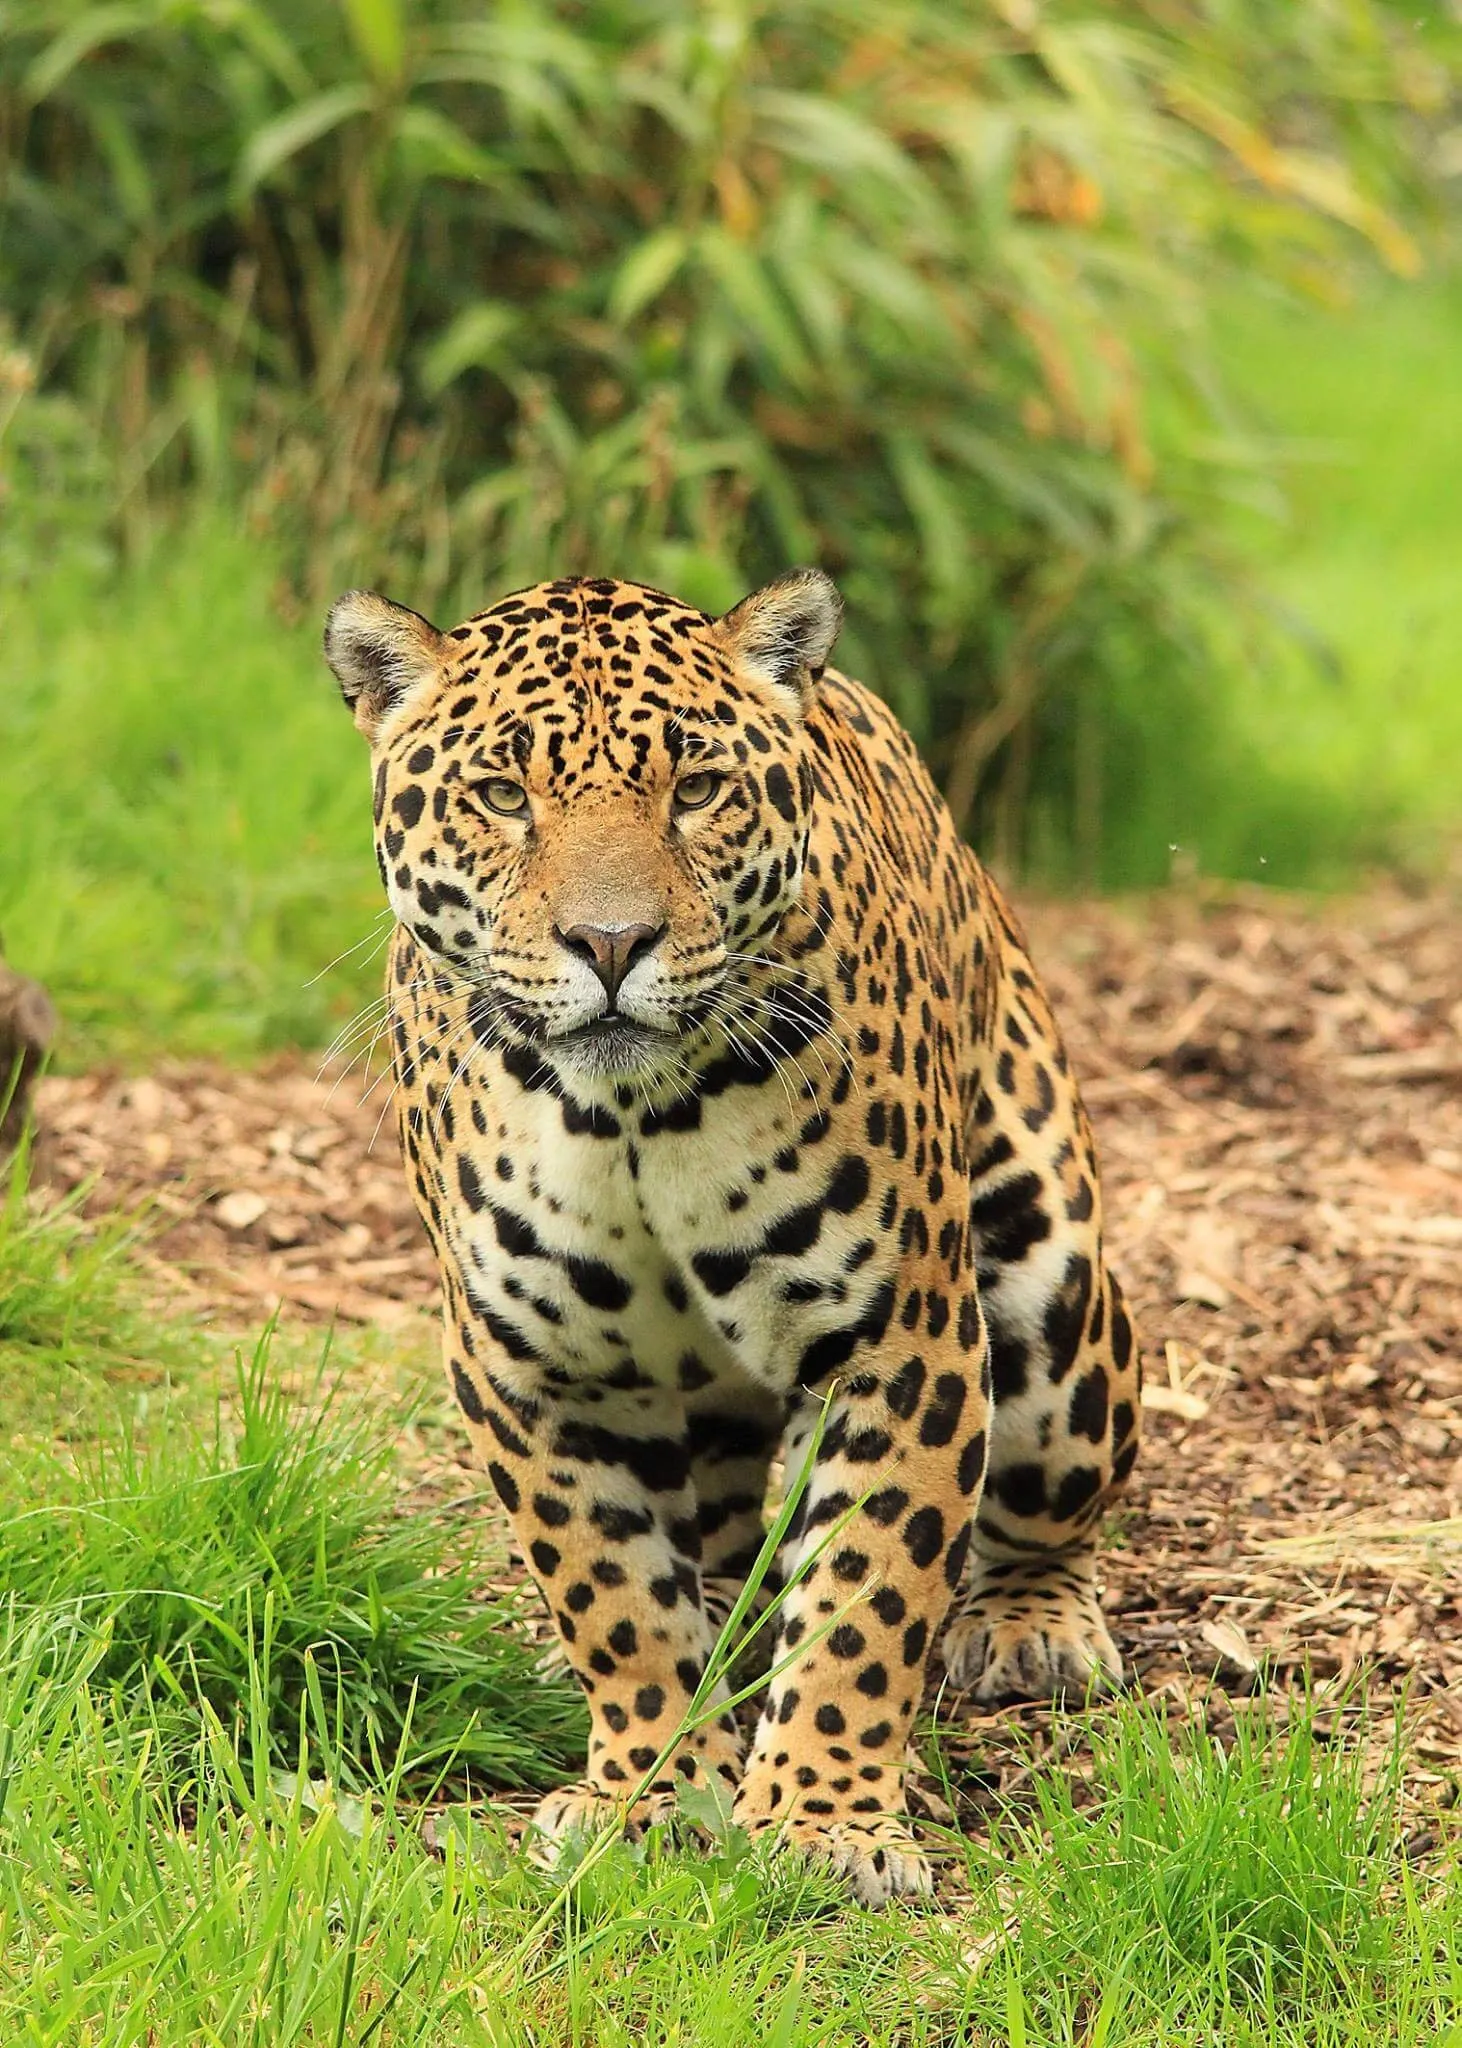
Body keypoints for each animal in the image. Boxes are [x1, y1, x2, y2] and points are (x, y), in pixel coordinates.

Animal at [323, 568, 1142, 1907]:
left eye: (695, 790)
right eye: (503, 795)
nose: (609, 944)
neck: (630, 1112)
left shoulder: (897, 1339)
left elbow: (869, 1586)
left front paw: (819, 1820)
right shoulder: (526, 1363)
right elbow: (612, 1595)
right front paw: (648, 1789)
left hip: (1049, 1283)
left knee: (1048, 1497)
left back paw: (1030, 1628)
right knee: (712, 1546)